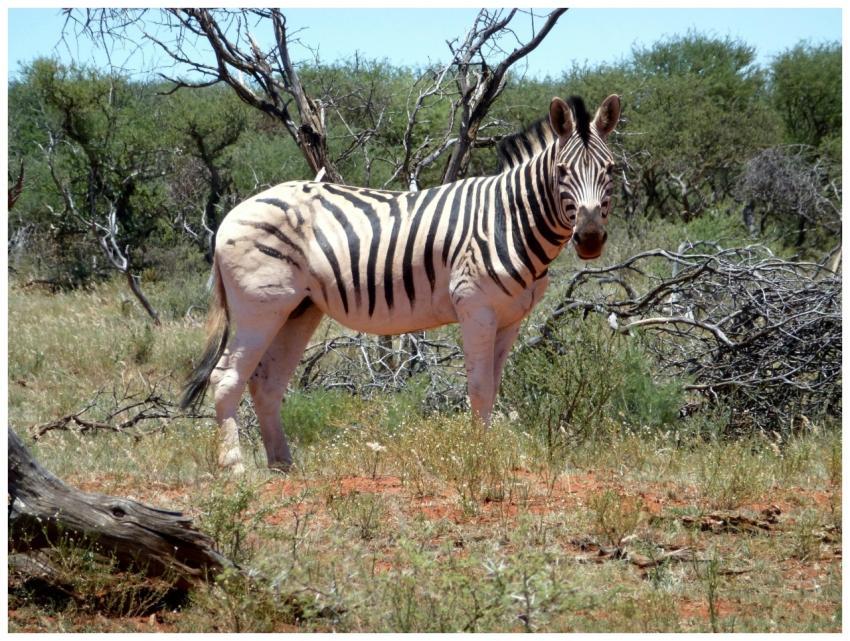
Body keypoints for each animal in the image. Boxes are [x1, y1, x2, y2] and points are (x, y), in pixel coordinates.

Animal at [181, 94, 621, 472]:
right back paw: (235, 467)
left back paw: (282, 464)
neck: (508, 218)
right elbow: (479, 387)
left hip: (298, 309)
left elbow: (494, 387)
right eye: (562, 171)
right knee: (226, 377)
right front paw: (480, 457)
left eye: (612, 169)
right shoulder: (475, 307)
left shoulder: (511, 318)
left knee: (266, 382)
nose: (590, 238)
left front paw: (488, 449)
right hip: (258, 309)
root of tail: (232, 214)